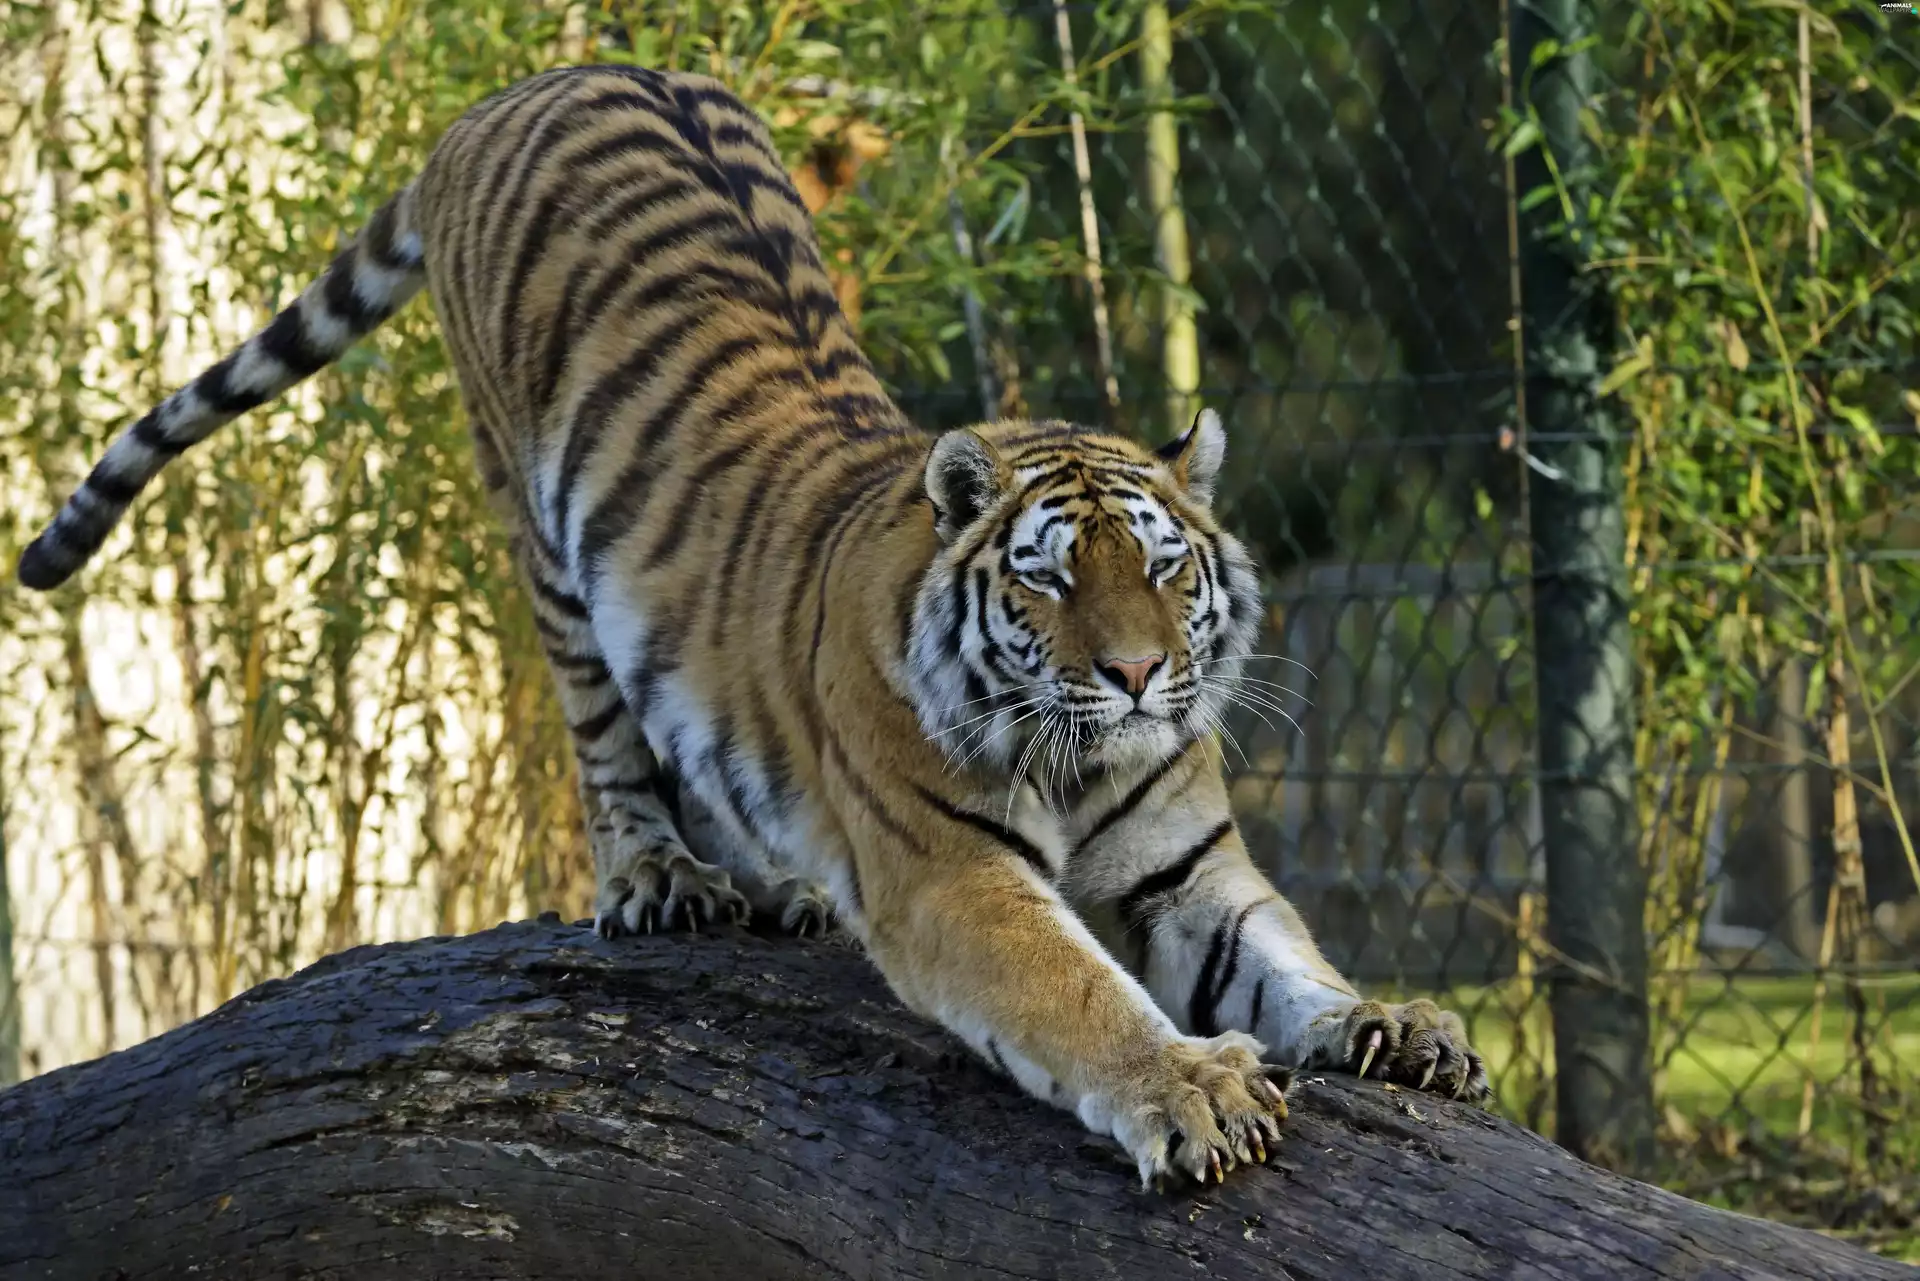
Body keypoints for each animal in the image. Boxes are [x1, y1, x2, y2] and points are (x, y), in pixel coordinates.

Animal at [15, 62, 1488, 1187]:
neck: (1086, 758)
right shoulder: (953, 878)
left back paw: (778, 889)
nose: (1135, 675)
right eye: (1052, 580)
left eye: (1168, 570)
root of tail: (524, 86)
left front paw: (1395, 1027)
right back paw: (661, 880)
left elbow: (1289, 961)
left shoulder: (1190, 872)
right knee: (609, 743)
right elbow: (1077, 996)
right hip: (537, 529)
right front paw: (1190, 1088)